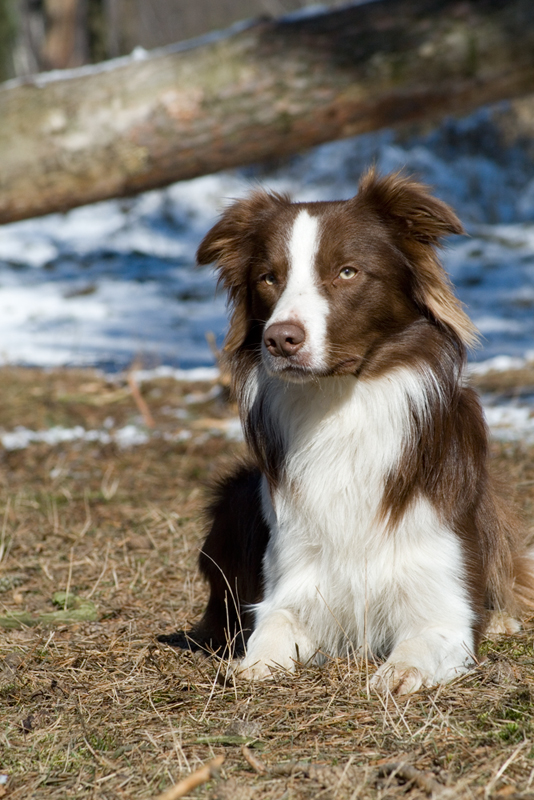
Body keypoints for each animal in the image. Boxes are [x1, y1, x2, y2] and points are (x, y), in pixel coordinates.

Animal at [160, 170, 534, 692]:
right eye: (268, 277)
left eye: (347, 272)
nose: (280, 339)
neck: (341, 411)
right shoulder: (291, 587)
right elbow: (270, 632)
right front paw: (252, 665)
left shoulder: (443, 608)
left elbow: (421, 644)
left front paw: (398, 672)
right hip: (233, 496)